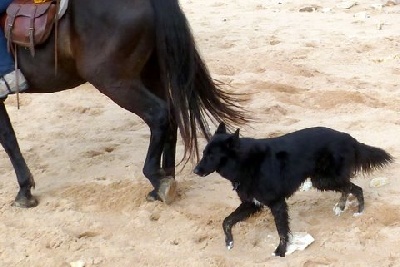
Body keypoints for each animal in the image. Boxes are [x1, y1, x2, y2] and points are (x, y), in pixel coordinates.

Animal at [0, 0, 247, 208]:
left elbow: (9, 141)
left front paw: (24, 191)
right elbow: (9, 138)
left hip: (114, 80)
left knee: (159, 114)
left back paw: (157, 179)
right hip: (150, 73)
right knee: (172, 116)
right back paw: (166, 178)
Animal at [194, 123, 394, 258]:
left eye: (211, 155)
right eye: (203, 153)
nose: (195, 170)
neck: (246, 161)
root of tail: (349, 138)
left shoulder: (277, 204)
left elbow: (282, 231)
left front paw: (281, 251)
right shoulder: (251, 204)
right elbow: (226, 221)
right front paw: (229, 242)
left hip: (323, 180)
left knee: (355, 187)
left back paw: (359, 211)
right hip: (323, 180)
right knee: (348, 186)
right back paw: (341, 207)